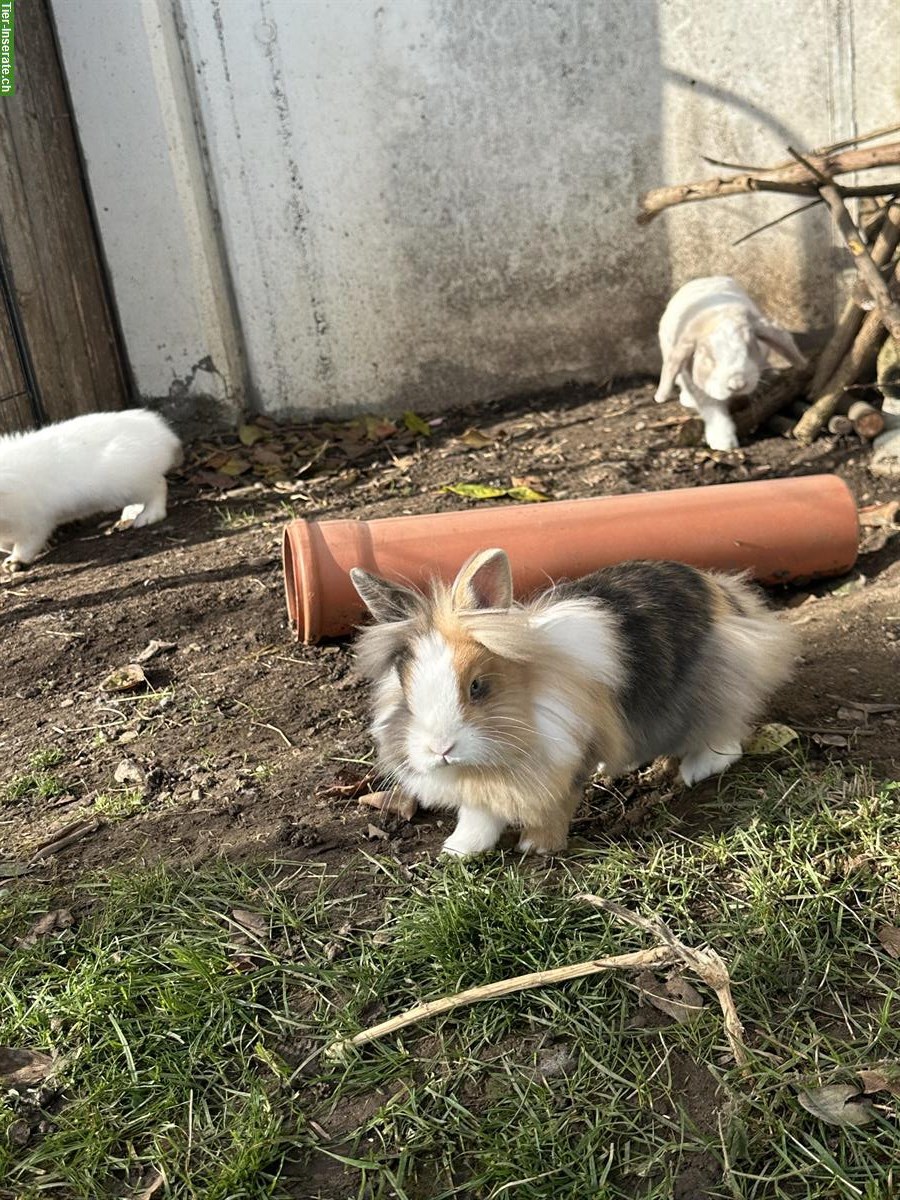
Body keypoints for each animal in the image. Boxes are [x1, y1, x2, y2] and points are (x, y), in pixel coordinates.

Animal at [0, 409, 182, 568]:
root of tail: (165, 435)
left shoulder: (35, 523)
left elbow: (26, 545)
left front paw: (12, 562)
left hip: (133, 484)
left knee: (159, 487)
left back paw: (147, 517)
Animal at [350, 548, 797, 857]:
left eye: (477, 686)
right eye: (405, 686)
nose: (441, 748)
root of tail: (721, 591)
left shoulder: (568, 761)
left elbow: (556, 806)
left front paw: (537, 846)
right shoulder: (482, 794)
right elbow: (478, 817)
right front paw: (458, 851)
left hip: (718, 685)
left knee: (727, 736)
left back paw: (695, 769)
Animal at [655, 276, 806, 451]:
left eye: (750, 347)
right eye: (709, 357)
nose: (737, 384)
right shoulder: (698, 385)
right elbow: (714, 410)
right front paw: (724, 443)